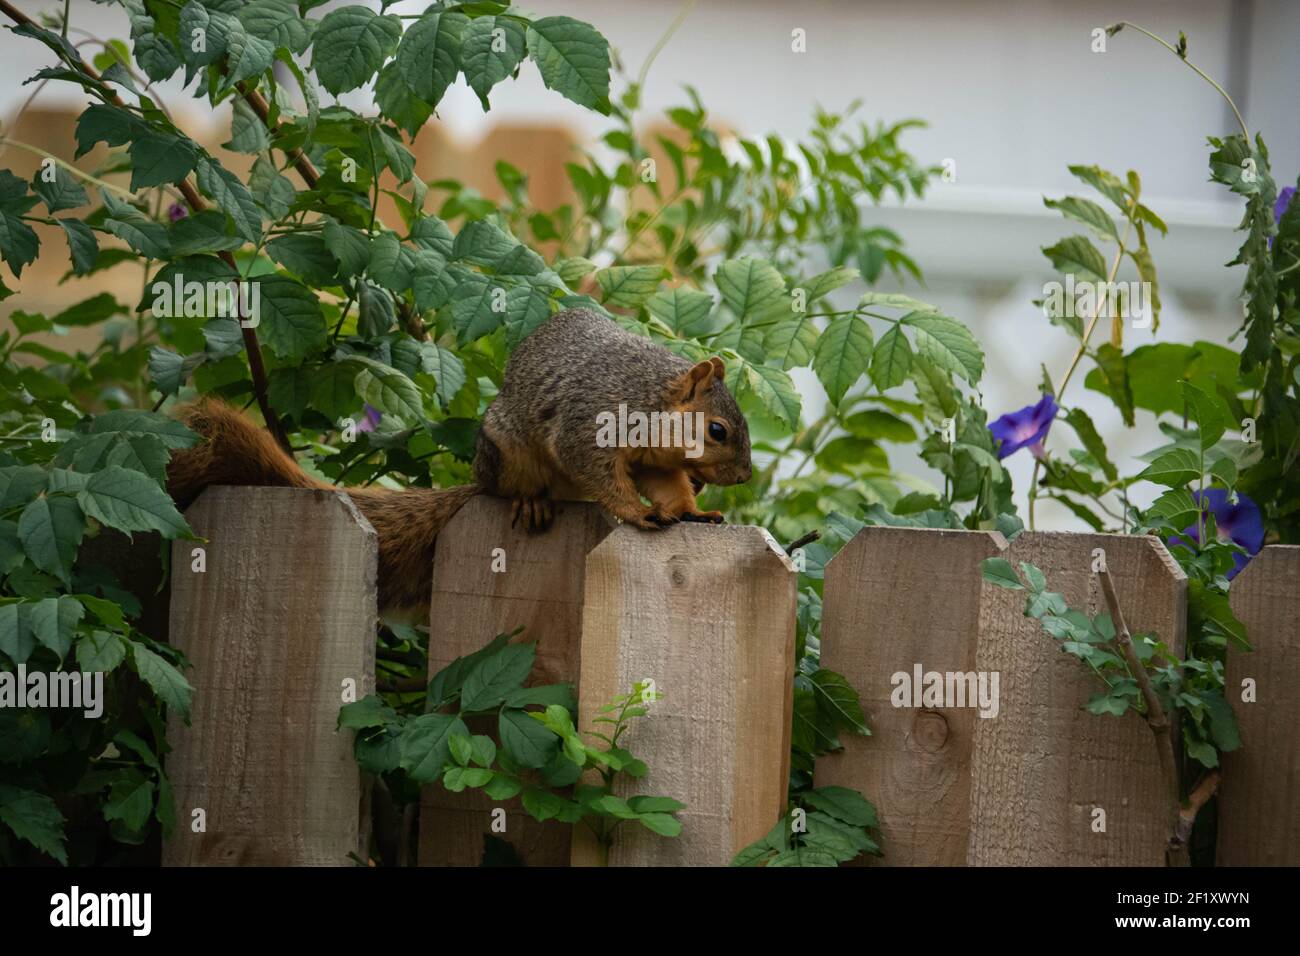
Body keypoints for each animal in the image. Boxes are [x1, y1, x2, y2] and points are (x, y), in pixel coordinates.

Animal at [166, 307, 753, 618]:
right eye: (717, 430)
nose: (746, 475)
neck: (653, 397)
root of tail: (479, 476)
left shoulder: (657, 459)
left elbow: (669, 483)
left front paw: (692, 511)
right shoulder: (590, 426)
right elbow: (600, 474)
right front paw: (634, 511)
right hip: (507, 454)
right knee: (508, 489)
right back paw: (529, 501)